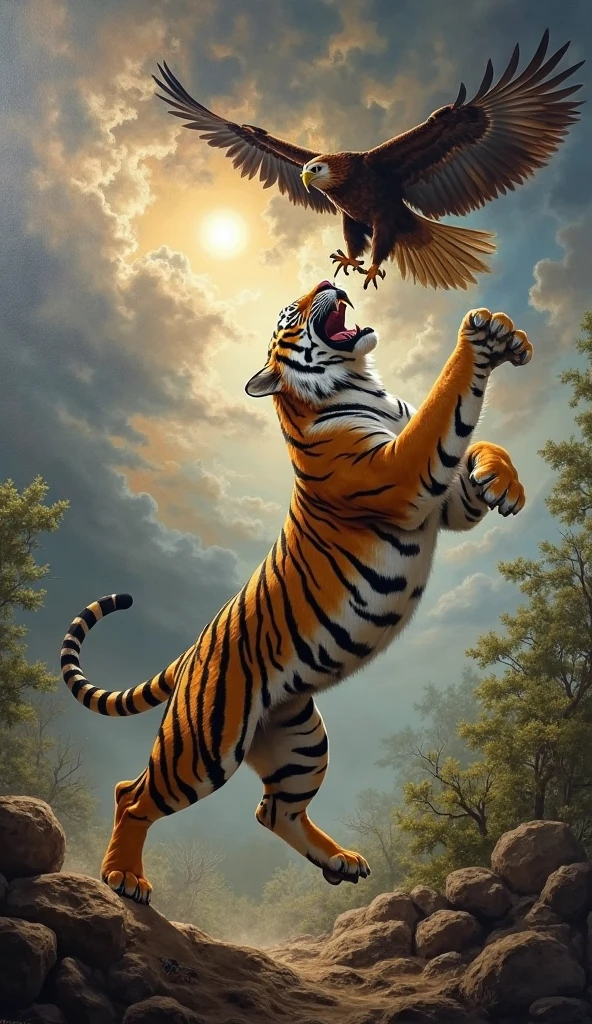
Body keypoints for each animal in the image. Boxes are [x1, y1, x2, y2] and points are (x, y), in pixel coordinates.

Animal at [61, 279, 532, 904]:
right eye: (291, 309)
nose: (330, 282)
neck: (361, 382)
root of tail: (190, 652)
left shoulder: (443, 498)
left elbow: (478, 444)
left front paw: (503, 479)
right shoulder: (401, 473)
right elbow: (446, 403)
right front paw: (479, 334)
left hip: (299, 737)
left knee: (273, 811)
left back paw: (341, 862)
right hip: (204, 747)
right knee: (132, 794)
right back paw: (123, 877)